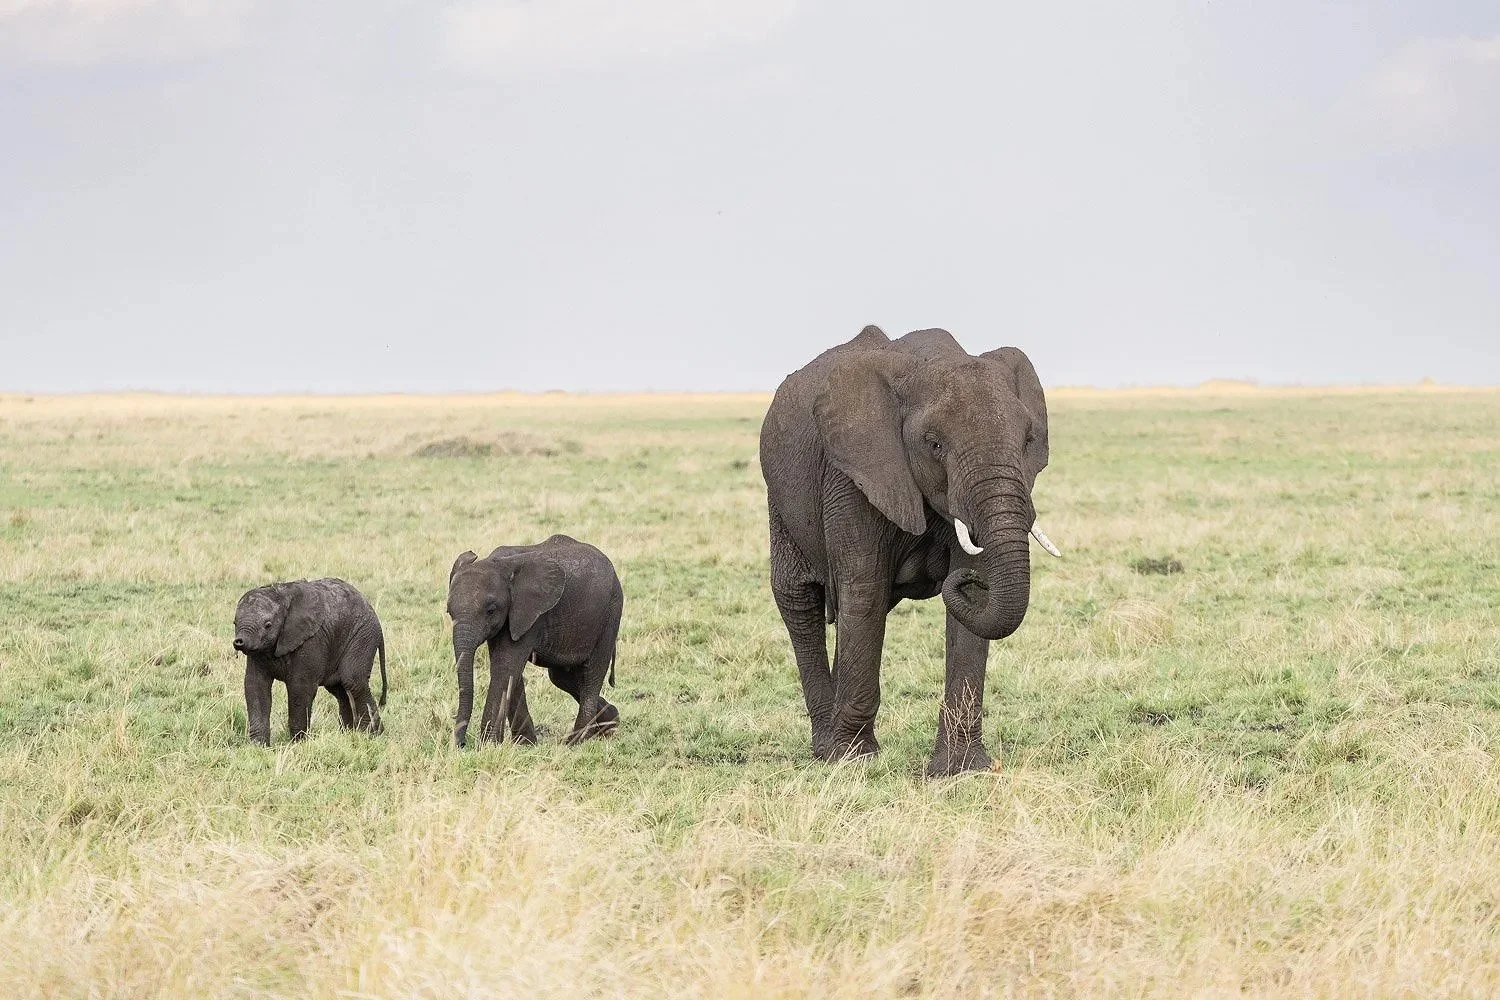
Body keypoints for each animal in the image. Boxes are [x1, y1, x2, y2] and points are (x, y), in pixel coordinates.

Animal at [232, 578, 388, 745]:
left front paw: (298, 744)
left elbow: (300, 687)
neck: (280, 594)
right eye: (234, 623)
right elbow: (255, 686)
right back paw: (347, 734)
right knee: (340, 690)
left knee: (354, 682)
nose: (239, 642)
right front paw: (258, 746)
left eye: (268, 625)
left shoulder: (311, 640)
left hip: (363, 635)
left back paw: (371, 735)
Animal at [447, 534, 624, 747]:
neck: (500, 564)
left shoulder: (531, 614)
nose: (461, 745)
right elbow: (509, 671)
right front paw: (525, 744)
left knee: (592, 673)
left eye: (491, 610)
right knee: (560, 677)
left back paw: (574, 742)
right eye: (449, 612)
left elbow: (505, 667)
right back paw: (609, 723)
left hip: (610, 614)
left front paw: (489, 746)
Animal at [759, 325, 1059, 777]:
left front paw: (960, 770)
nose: (959, 579)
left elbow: (974, 602)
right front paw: (853, 759)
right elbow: (864, 588)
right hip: (779, 496)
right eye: (934, 445)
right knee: (800, 597)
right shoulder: (853, 474)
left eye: (1028, 441)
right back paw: (825, 747)